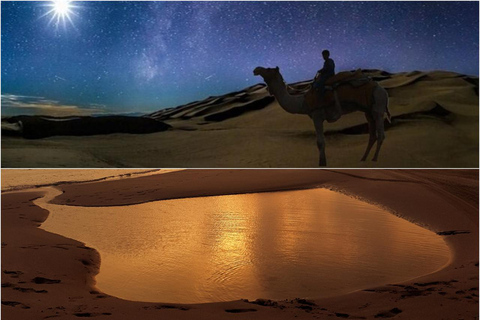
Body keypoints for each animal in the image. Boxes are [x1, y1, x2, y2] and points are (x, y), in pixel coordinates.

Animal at [255, 66, 390, 166]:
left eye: (268, 69)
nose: (256, 69)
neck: (303, 102)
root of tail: (384, 91)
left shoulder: (317, 115)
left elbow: (320, 142)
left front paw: (322, 163)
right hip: (368, 111)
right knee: (372, 134)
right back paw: (363, 158)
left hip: (378, 105)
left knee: (380, 133)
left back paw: (374, 159)